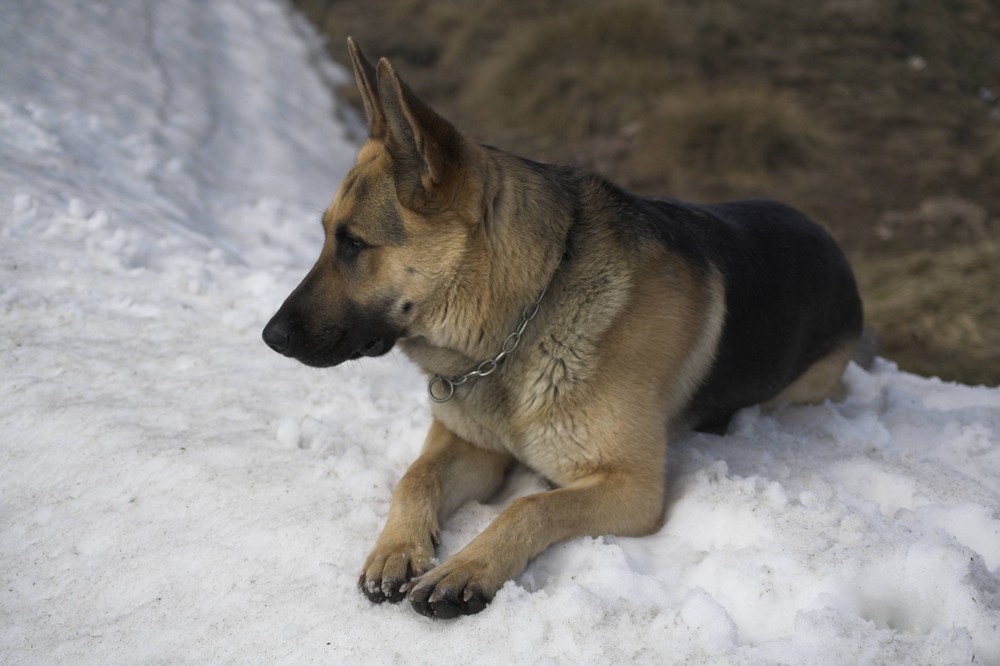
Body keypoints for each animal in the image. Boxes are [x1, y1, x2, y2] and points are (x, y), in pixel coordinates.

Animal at [262, 39, 864, 616]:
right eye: (327, 236)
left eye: (354, 243)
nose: (270, 337)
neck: (522, 316)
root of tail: (829, 239)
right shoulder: (470, 443)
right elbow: (415, 477)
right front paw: (395, 550)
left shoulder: (631, 486)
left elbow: (530, 504)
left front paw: (468, 568)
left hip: (805, 386)